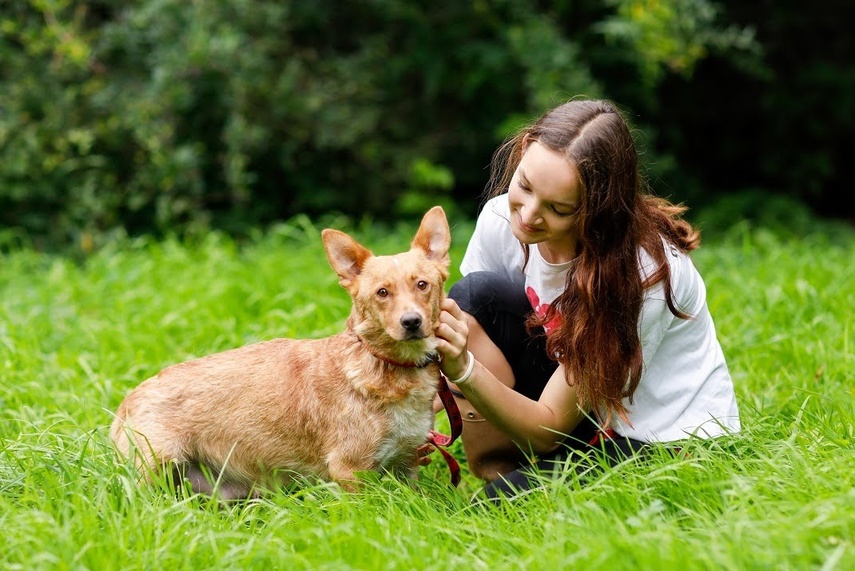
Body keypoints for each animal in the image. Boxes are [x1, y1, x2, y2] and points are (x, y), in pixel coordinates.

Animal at [110, 208, 452, 498]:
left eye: (422, 285)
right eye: (382, 292)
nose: (411, 322)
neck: (388, 366)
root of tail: (128, 399)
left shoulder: (407, 464)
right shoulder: (350, 470)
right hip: (155, 470)